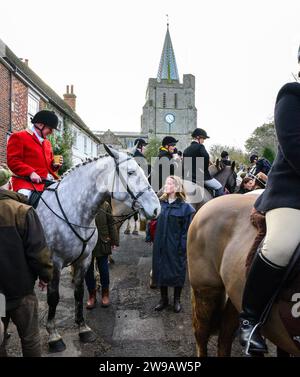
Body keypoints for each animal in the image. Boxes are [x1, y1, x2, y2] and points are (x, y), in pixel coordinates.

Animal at [36, 145, 161, 352]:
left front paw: (82, 327)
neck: (72, 209)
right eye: (131, 172)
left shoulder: (84, 259)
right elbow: (53, 297)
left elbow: (80, 291)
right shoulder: (55, 263)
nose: (157, 208)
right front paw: (53, 335)